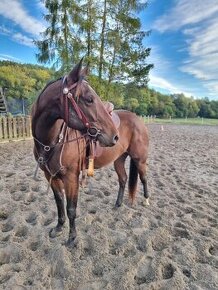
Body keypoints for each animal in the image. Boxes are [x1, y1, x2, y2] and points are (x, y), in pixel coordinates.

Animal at [31, 59, 149, 247]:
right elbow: (59, 202)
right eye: (89, 99)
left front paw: (72, 238)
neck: (52, 142)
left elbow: (71, 208)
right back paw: (117, 204)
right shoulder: (51, 176)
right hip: (118, 160)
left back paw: (146, 200)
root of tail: (138, 119)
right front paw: (58, 228)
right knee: (123, 180)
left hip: (139, 159)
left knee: (144, 178)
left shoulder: (71, 177)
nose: (115, 136)